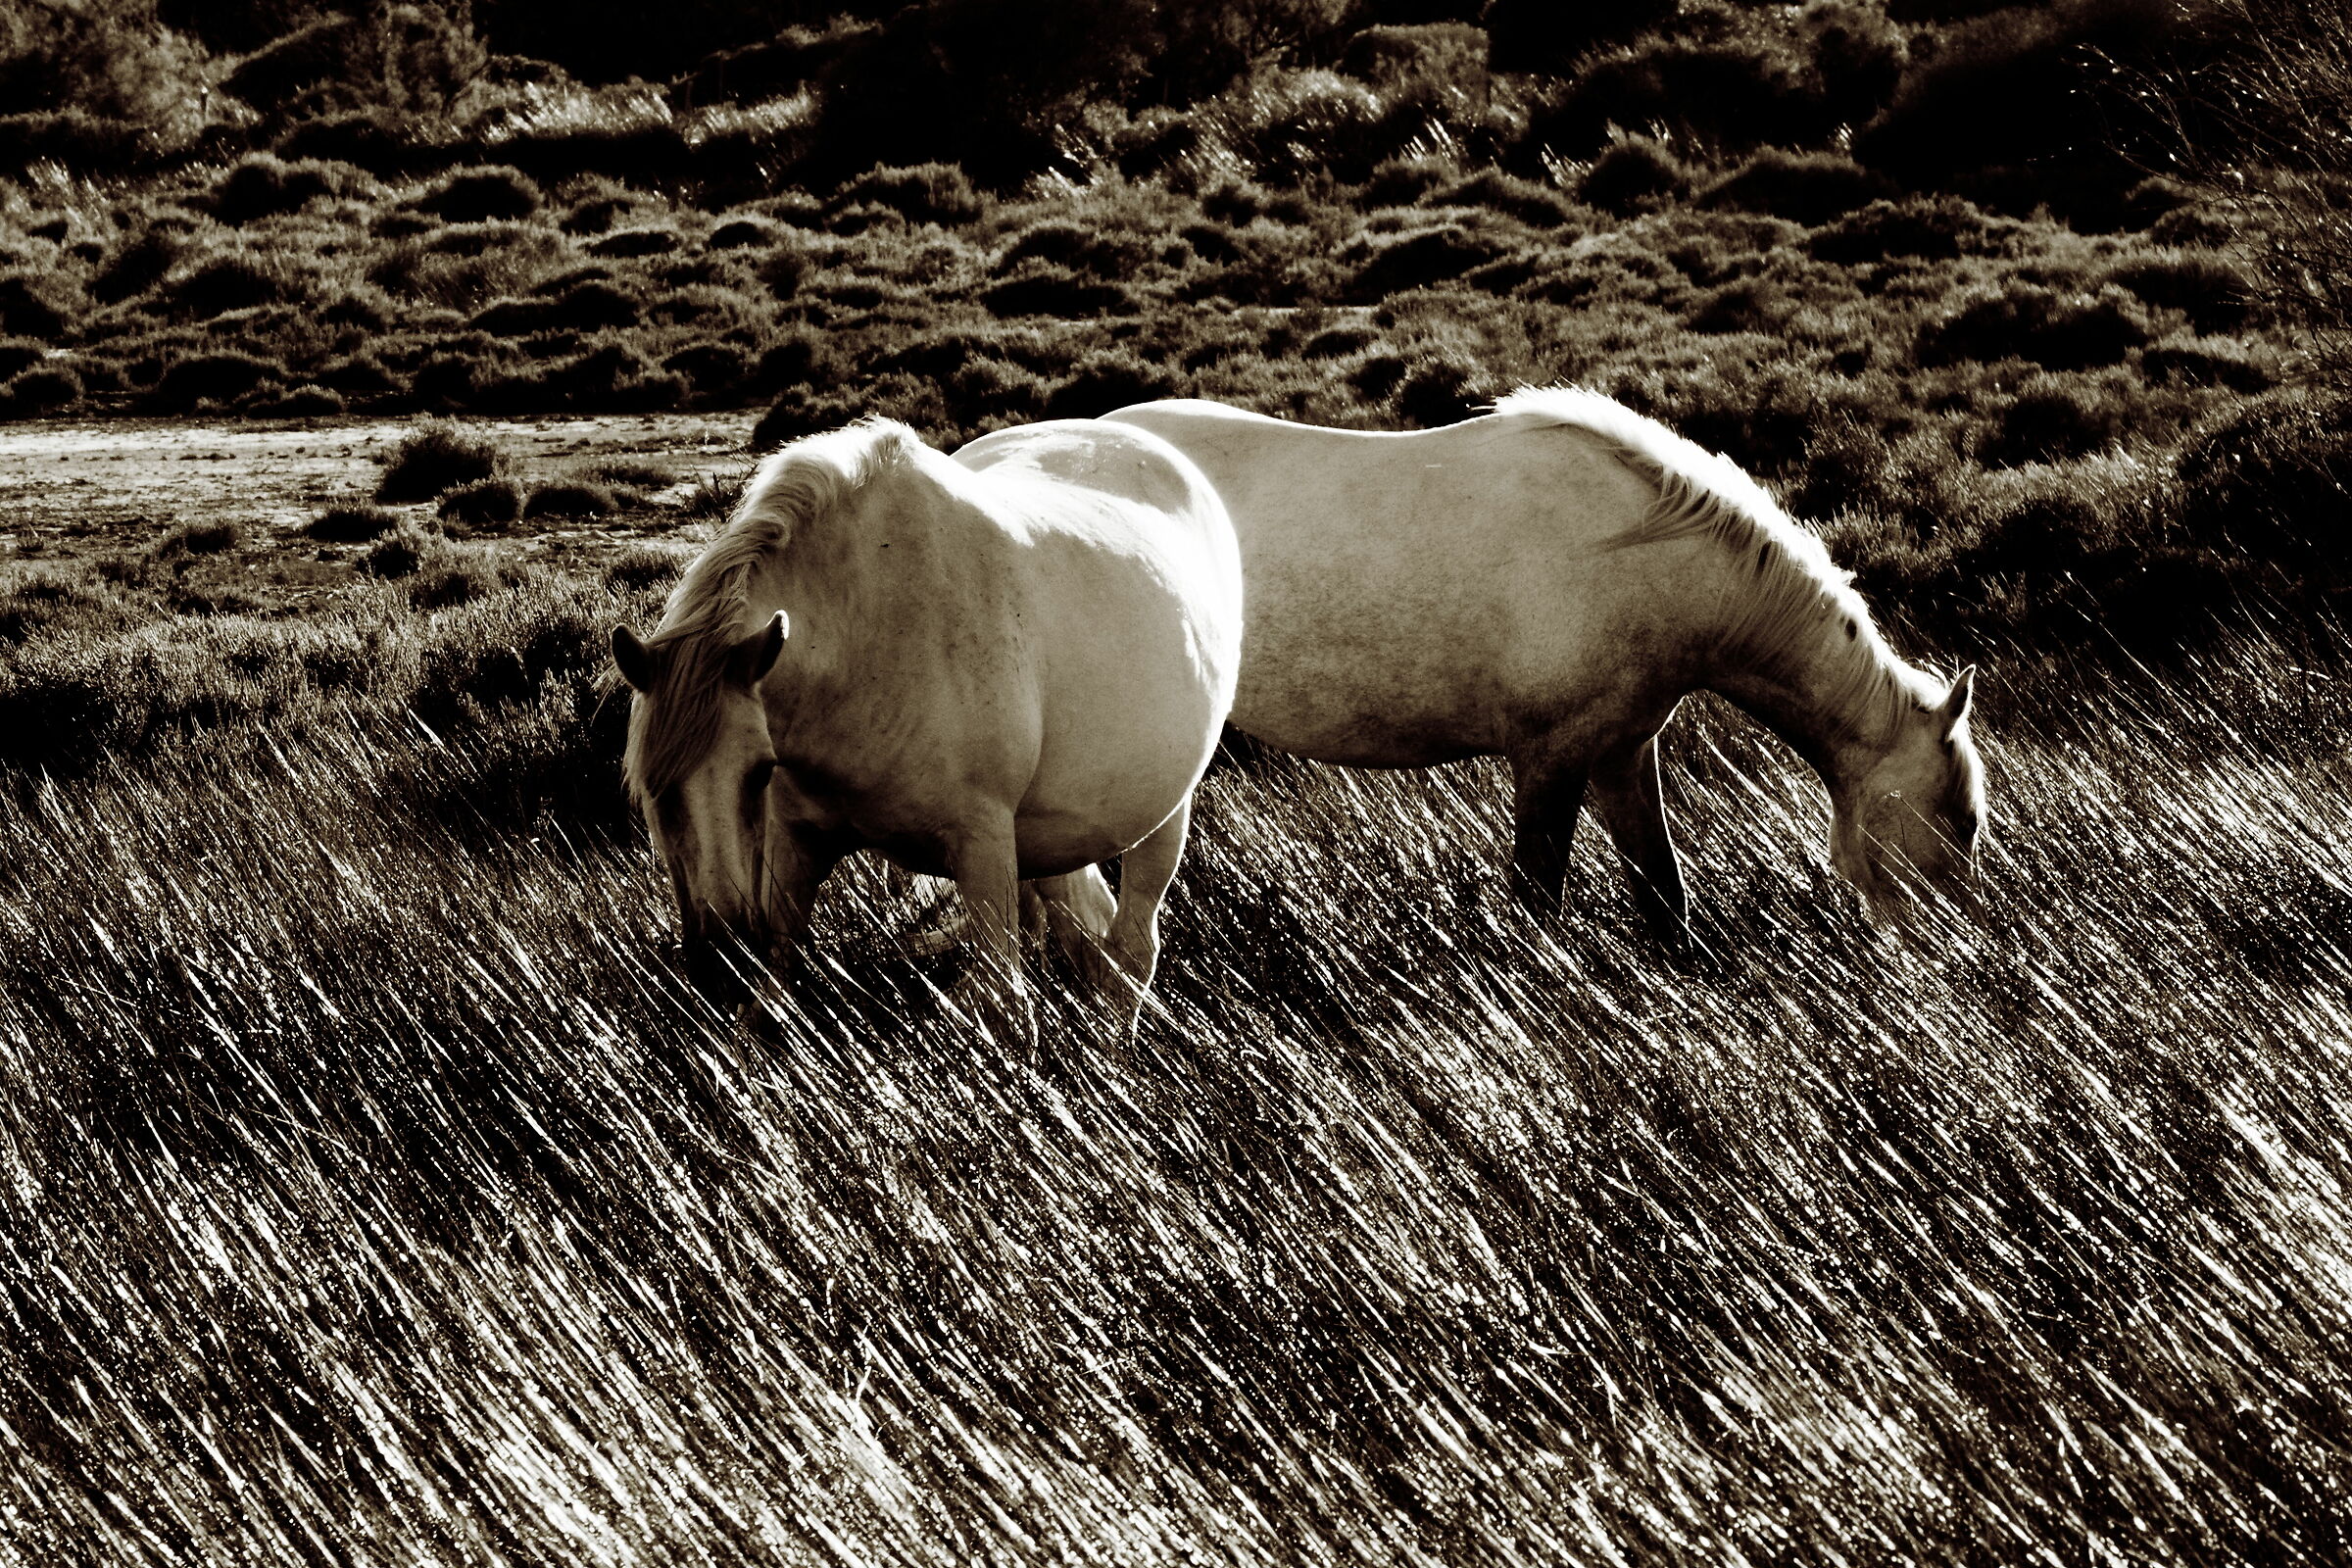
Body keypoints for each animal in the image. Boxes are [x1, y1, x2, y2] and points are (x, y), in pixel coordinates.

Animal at [610, 416, 1243, 1035]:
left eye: (759, 772)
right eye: (650, 790)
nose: (724, 959)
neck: (870, 634)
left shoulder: (983, 845)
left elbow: (1005, 1006)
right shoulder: (795, 847)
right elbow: (770, 1005)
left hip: (1161, 819)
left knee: (1132, 954)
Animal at [1103, 389, 1985, 934]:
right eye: (1960, 820)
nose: (1955, 955)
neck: (1647, 562)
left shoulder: (1622, 753)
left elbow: (1664, 898)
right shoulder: (1549, 759)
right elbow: (1538, 900)